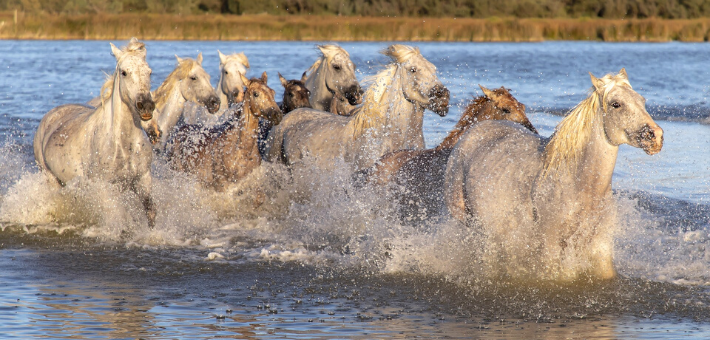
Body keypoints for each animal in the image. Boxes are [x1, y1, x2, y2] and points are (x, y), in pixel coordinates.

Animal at [33, 39, 159, 226]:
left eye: (149, 72)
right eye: (124, 73)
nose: (146, 106)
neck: (123, 144)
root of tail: (50, 115)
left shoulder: (143, 179)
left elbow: (150, 212)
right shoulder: (106, 186)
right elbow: (117, 216)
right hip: (50, 177)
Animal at [444, 69, 668, 282]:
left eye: (642, 100)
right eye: (616, 104)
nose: (655, 137)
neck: (580, 184)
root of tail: (475, 130)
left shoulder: (600, 246)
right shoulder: (550, 246)